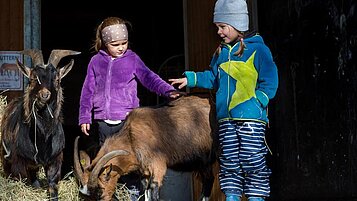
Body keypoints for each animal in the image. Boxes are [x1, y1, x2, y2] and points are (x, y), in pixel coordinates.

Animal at [0, 48, 80, 199]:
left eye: (57, 79)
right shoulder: (19, 162)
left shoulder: (55, 160)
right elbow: (26, 182)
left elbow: (52, 185)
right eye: (32, 79)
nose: (44, 95)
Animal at [73, 93, 216, 200]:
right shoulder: (144, 173)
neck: (132, 138)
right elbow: (146, 193)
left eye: (99, 193)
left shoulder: (158, 165)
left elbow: (153, 191)